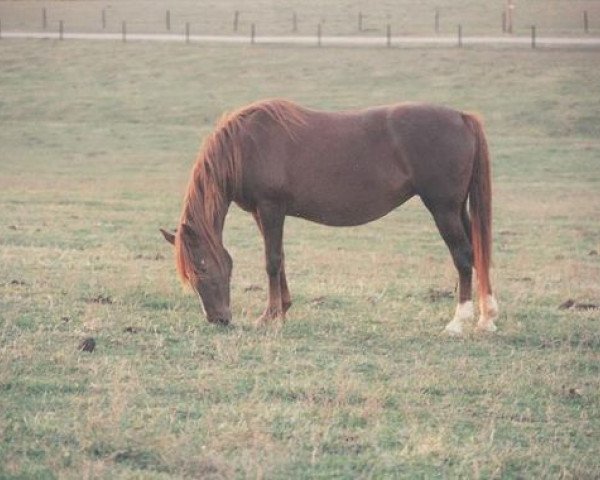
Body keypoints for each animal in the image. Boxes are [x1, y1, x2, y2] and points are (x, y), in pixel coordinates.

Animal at [162, 99, 500, 336]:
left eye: (202, 267)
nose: (218, 319)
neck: (246, 146)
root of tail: (462, 117)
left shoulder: (270, 208)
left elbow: (271, 261)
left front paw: (269, 316)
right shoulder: (263, 213)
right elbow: (280, 259)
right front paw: (283, 309)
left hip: (443, 209)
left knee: (463, 256)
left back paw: (458, 322)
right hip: (458, 209)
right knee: (478, 252)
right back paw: (487, 318)